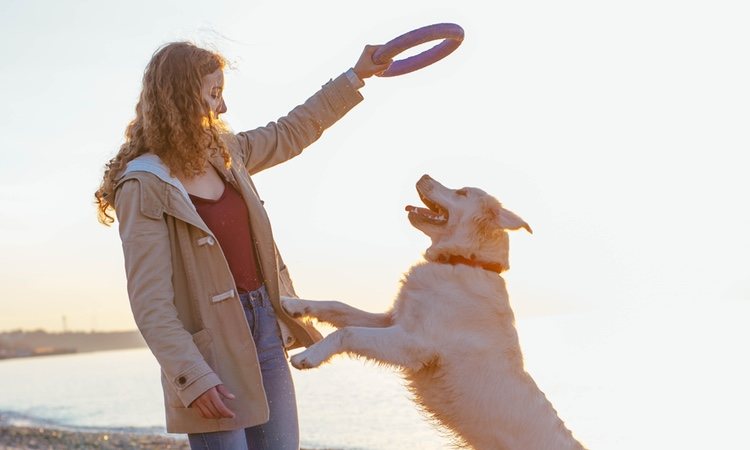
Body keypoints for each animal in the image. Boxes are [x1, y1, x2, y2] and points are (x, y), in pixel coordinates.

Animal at [286, 174, 588, 448]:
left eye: (462, 192)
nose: (423, 175)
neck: (463, 261)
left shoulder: (413, 344)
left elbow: (348, 333)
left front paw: (308, 356)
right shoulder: (394, 321)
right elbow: (339, 307)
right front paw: (293, 304)